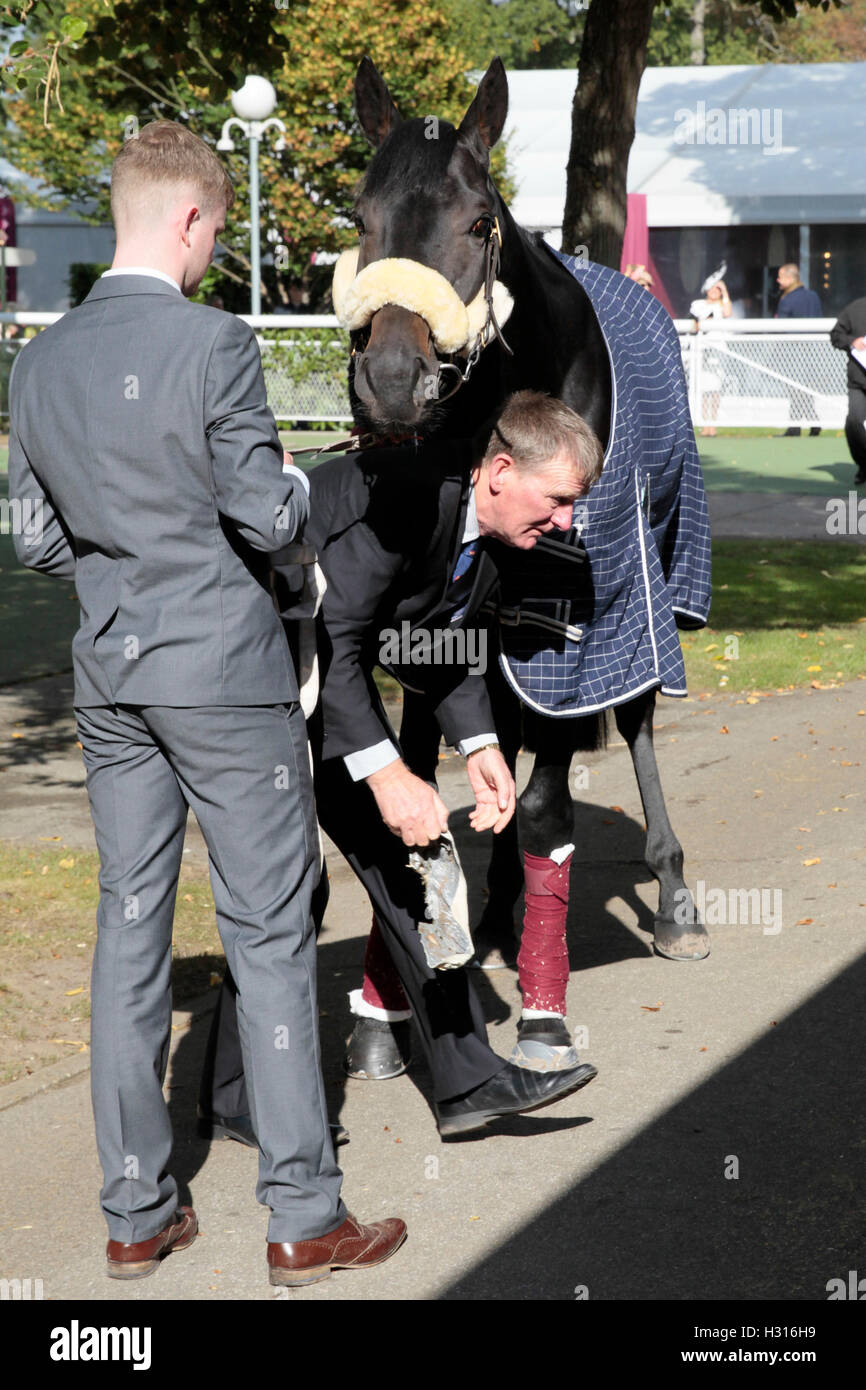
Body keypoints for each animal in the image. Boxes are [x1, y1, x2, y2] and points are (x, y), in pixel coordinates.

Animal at [333, 56, 711, 1045]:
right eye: (358, 217)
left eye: (477, 221)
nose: (391, 380)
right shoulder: (436, 612)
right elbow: (422, 775)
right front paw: (393, 999)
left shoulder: (576, 618)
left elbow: (547, 798)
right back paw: (501, 905)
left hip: (646, 585)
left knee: (636, 717)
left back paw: (673, 897)